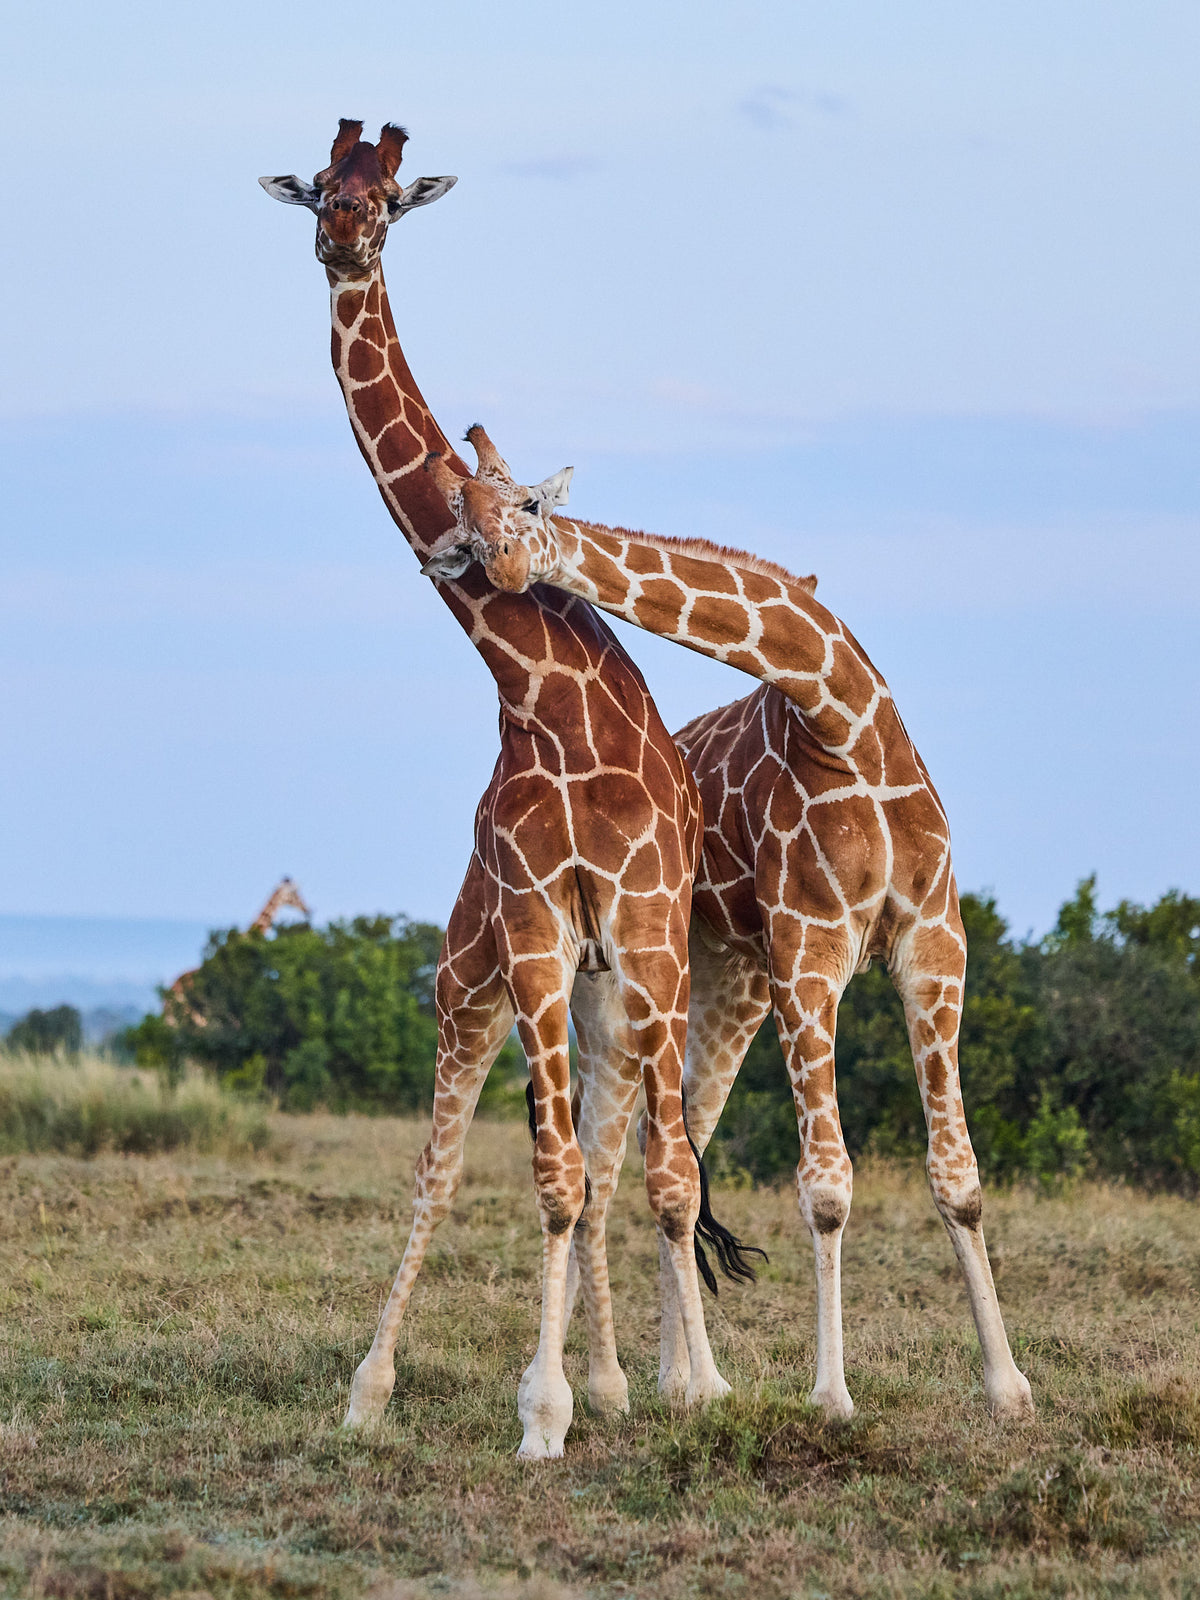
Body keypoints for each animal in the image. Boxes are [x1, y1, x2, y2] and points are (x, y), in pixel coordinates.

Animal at [260, 122, 749, 1457]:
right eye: (319, 191)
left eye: (389, 197)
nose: (344, 240)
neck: (542, 693)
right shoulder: (531, 926)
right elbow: (549, 1177)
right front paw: (547, 1410)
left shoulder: (645, 932)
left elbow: (657, 1176)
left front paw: (688, 1386)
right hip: (470, 983)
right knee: (447, 1165)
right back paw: (371, 1390)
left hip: (606, 995)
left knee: (616, 1157)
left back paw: (627, 1378)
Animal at [423, 448, 1036, 1422]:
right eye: (471, 533)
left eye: (526, 504)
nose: (505, 568)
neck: (842, 717)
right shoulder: (809, 948)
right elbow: (826, 1186)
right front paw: (831, 1395)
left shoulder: (936, 943)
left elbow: (960, 1176)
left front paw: (1009, 1389)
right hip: (619, 984)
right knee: (618, 1160)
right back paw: (607, 1382)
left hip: (720, 984)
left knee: (677, 1148)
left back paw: (678, 1380)